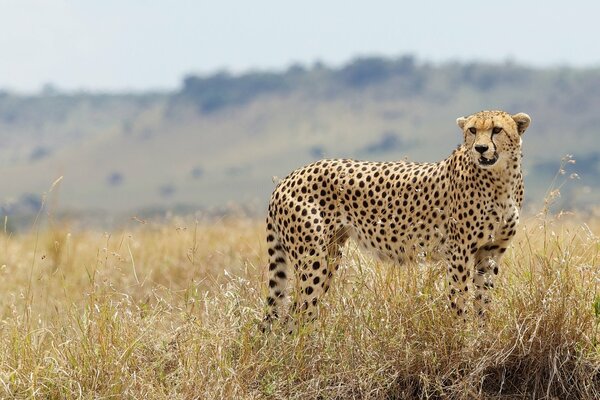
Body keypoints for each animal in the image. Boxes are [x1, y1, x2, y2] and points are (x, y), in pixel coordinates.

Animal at [262, 108, 528, 328]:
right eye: (472, 130)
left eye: (496, 130)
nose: (480, 148)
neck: (500, 179)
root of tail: (288, 177)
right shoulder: (459, 251)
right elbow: (460, 298)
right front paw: (463, 337)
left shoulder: (490, 252)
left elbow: (483, 301)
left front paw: (482, 334)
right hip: (312, 257)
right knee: (296, 313)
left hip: (330, 253)